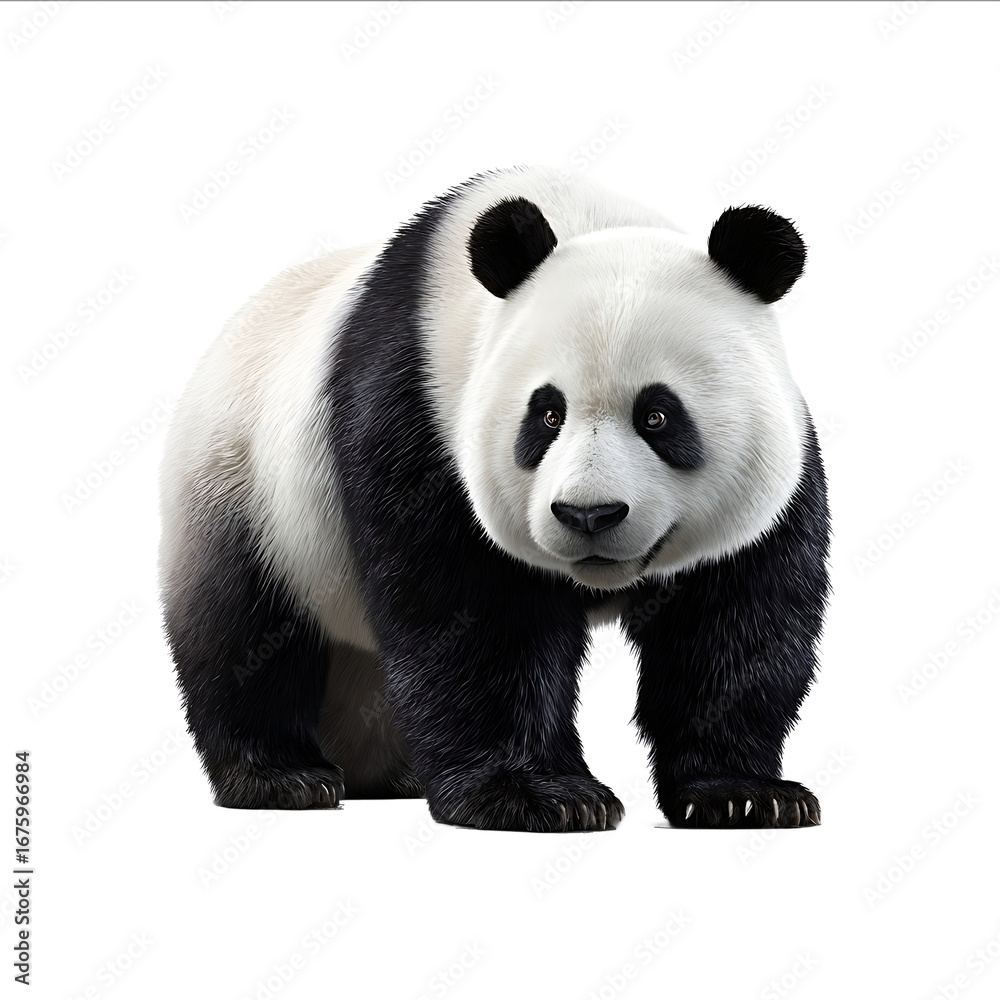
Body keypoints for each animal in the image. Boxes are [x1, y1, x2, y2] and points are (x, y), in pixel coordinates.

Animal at [159, 165, 830, 832]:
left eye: (658, 416)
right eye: (547, 414)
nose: (589, 515)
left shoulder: (774, 476)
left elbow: (733, 626)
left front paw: (744, 795)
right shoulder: (418, 419)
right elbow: (474, 619)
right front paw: (539, 796)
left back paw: (392, 774)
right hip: (248, 489)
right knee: (245, 634)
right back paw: (282, 776)